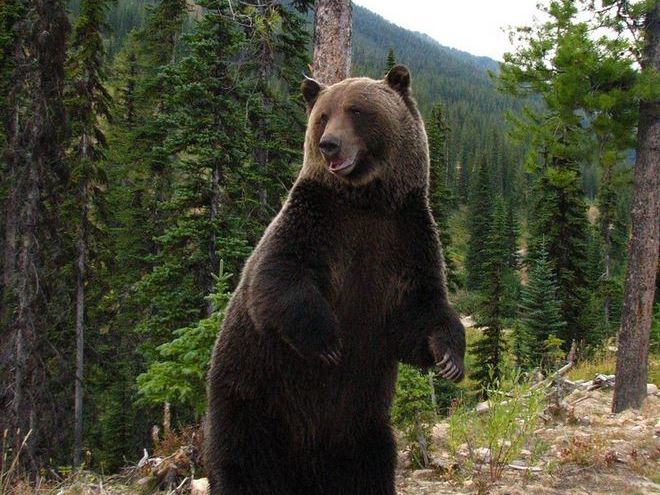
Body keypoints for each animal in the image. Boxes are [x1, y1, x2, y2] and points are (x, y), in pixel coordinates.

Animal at [206, 65, 466, 495]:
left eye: (357, 110)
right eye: (323, 115)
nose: (329, 145)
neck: (366, 202)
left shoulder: (405, 237)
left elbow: (420, 310)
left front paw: (449, 358)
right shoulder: (316, 222)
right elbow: (278, 275)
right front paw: (326, 340)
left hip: (358, 425)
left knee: (372, 463)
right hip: (252, 393)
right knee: (242, 458)